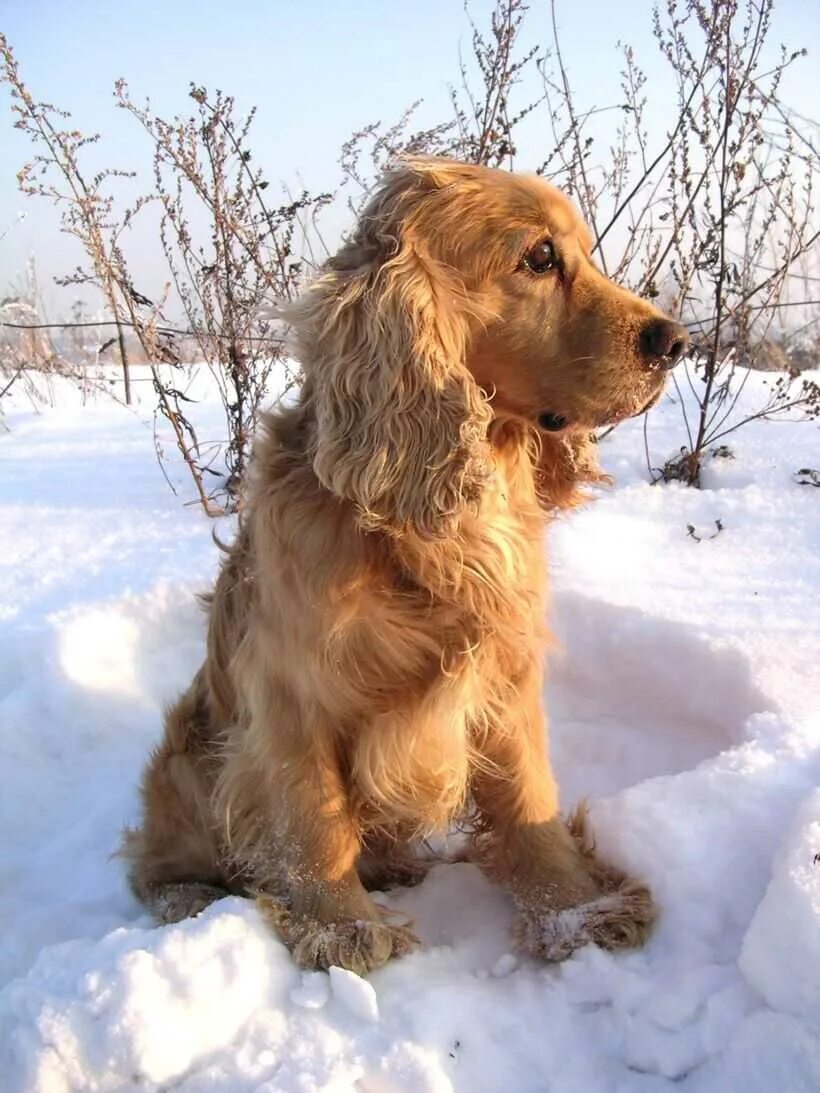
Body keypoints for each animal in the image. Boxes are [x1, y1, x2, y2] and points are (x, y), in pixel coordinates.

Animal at [125, 156, 690, 974]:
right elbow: (315, 817)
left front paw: (575, 910)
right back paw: (190, 899)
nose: (676, 340)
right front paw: (344, 928)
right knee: (155, 864)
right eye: (539, 258)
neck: (427, 530)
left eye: (585, 252)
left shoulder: (504, 673)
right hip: (185, 760)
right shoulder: (291, 694)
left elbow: (529, 797)